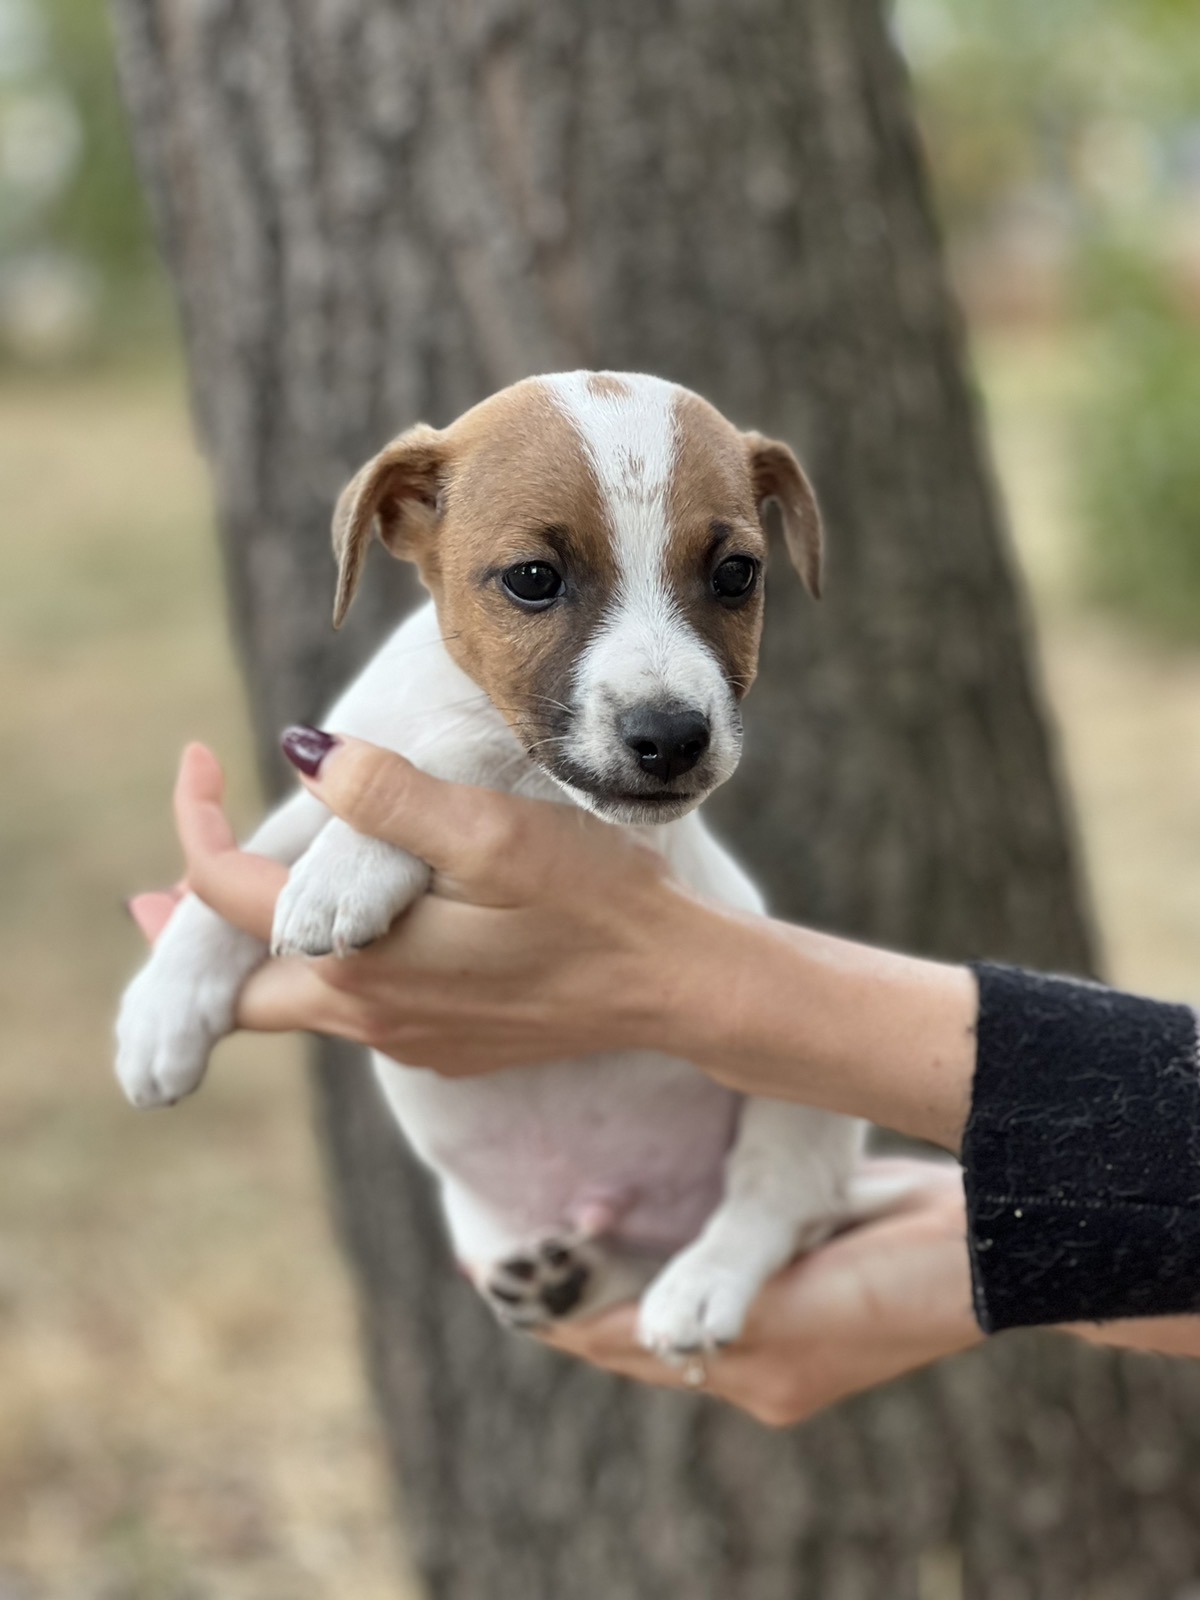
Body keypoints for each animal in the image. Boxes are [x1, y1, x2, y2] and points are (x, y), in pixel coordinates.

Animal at [117, 371, 870, 1363]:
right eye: (533, 580)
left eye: (736, 574)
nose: (673, 738)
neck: (463, 702)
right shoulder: (327, 780)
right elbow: (241, 870)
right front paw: (162, 1009)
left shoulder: (573, 808)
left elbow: (460, 765)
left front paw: (346, 868)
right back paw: (575, 1278)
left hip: (799, 1087)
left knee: (777, 1201)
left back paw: (703, 1283)